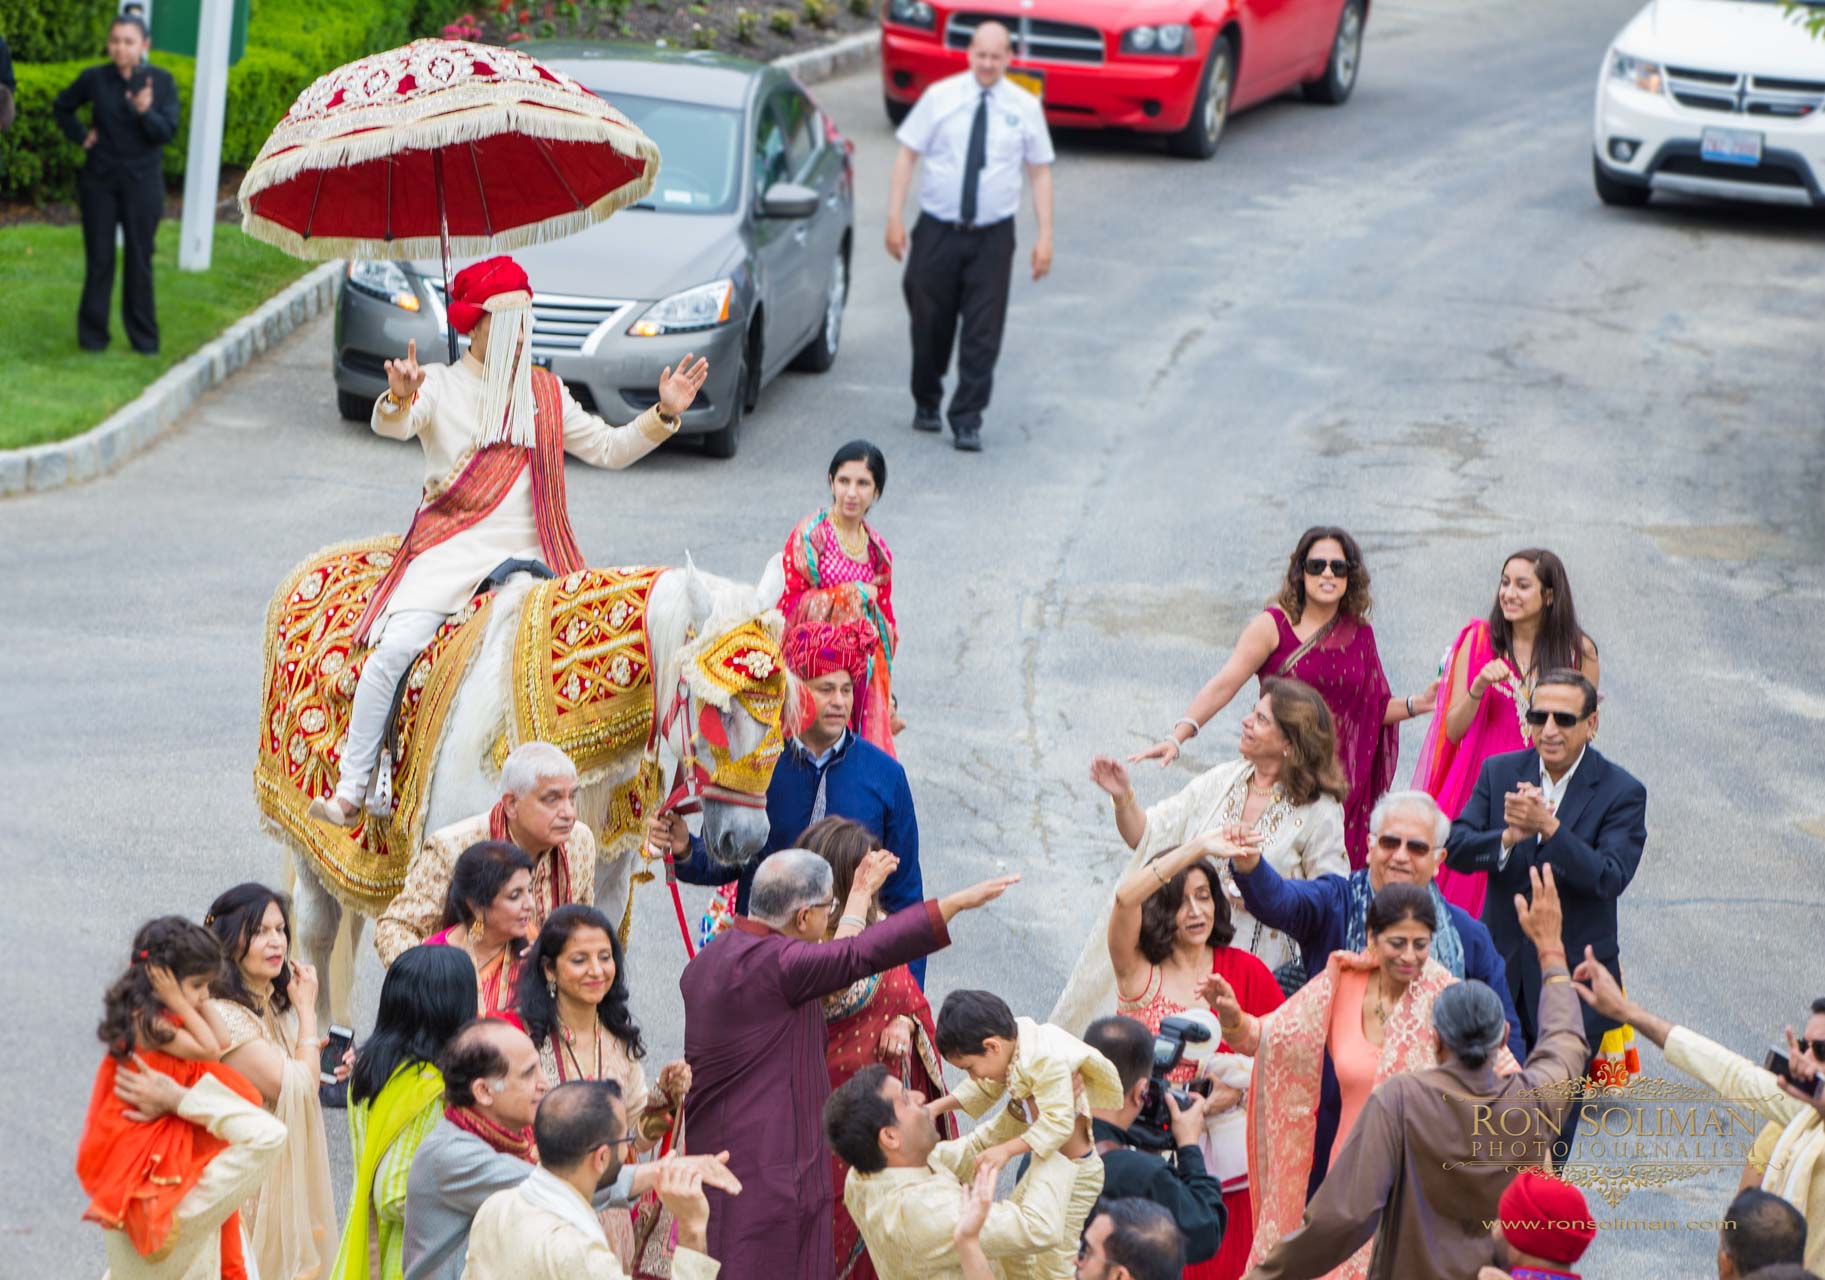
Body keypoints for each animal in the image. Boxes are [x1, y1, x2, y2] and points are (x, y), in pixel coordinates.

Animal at [284, 555, 784, 1022]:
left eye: (781, 707)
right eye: (718, 709)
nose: (750, 837)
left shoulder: (601, 889)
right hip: (313, 849)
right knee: (316, 932)